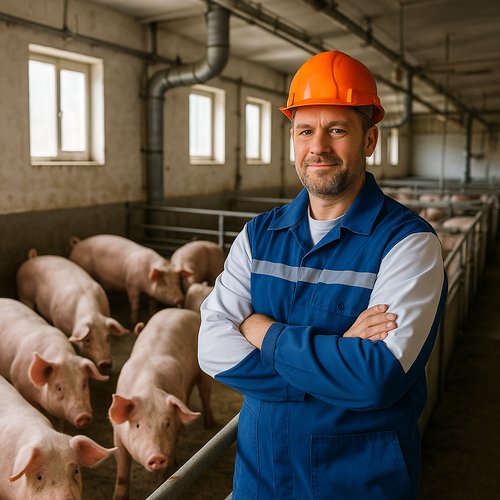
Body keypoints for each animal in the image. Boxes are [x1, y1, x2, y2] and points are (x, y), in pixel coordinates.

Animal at [108, 308, 214, 500]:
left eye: (167, 423)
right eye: (137, 424)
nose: (157, 457)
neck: (149, 388)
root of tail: (182, 310)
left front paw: (164, 479)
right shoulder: (117, 435)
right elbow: (122, 469)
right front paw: (118, 497)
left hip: (203, 371)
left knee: (205, 392)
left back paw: (209, 425)